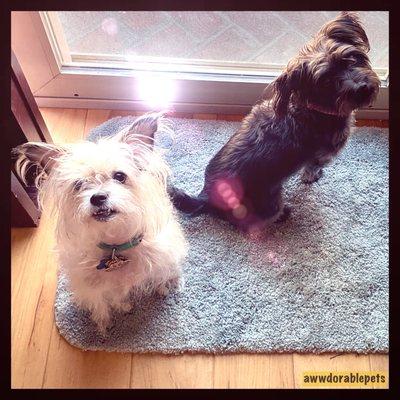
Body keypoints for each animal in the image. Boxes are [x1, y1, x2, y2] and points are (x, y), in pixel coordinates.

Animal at [13, 111, 187, 332]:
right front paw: (108, 319)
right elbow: (103, 302)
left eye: (119, 176)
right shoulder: (92, 286)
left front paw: (164, 288)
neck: (115, 245)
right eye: (78, 184)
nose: (97, 198)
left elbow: (161, 277)